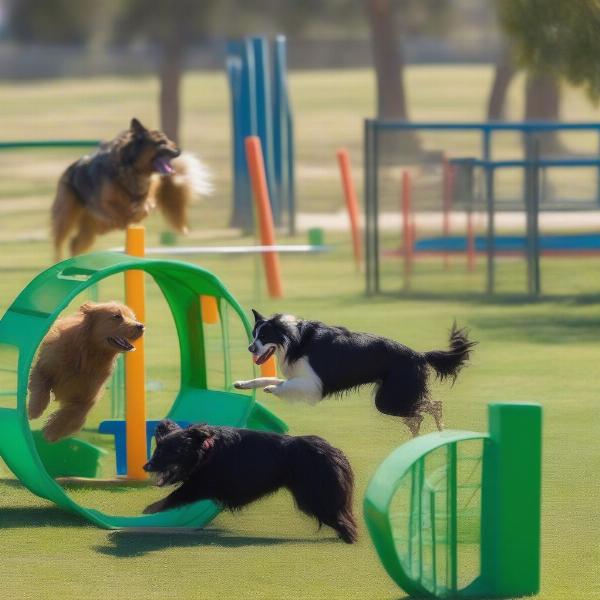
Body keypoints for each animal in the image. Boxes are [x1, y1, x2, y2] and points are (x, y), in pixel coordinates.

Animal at [28, 302, 145, 442]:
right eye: (117, 316)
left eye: (133, 317)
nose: (141, 326)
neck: (88, 354)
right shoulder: (43, 367)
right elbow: (41, 387)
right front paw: (35, 410)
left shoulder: (87, 397)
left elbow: (73, 416)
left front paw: (53, 431)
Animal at [50, 118, 212, 258]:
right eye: (161, 142)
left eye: (169, 141)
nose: (179, 150)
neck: (134, 171)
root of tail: (70, 169)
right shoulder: (103, 203)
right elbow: (115, 208)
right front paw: (127, 214)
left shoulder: (150, 189)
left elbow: (146, 202)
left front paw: (138, 210)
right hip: (66, 215)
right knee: (60, 241)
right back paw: (58, 260)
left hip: (91, 229)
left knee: (75, 243)